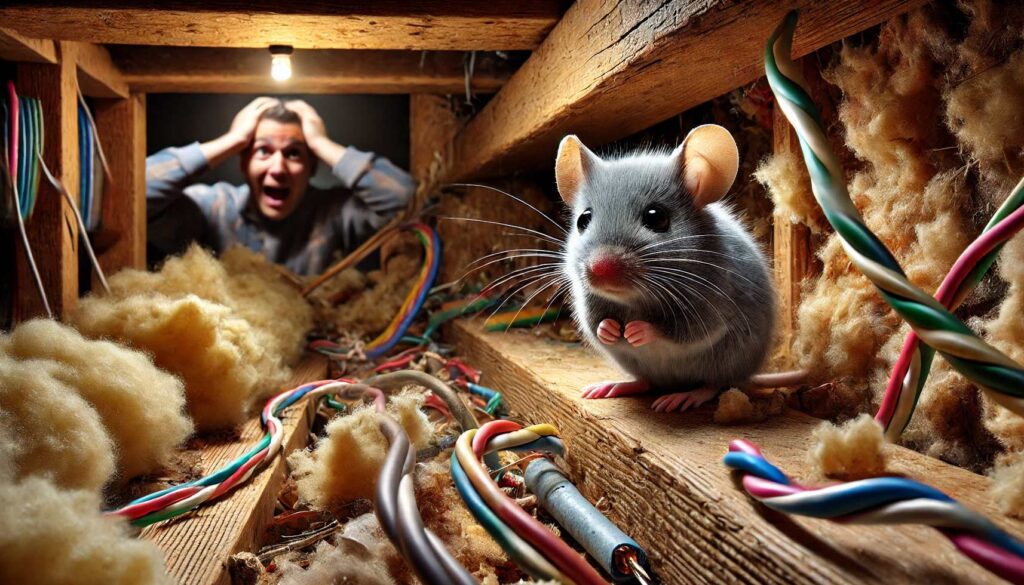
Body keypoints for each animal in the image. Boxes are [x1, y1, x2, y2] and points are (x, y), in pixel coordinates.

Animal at [555, 125, 777, 412]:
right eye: (583, 219)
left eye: (656, 217)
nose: (600, 269)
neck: (635, 300)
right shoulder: (589, 305)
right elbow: (597, 326)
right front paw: (611, 330)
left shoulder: (708, 308)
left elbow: (677, 331)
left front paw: (636, 330)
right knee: (646, 382)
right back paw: (614, 386)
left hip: (725, 362)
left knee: (713, 384)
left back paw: (684, 396)